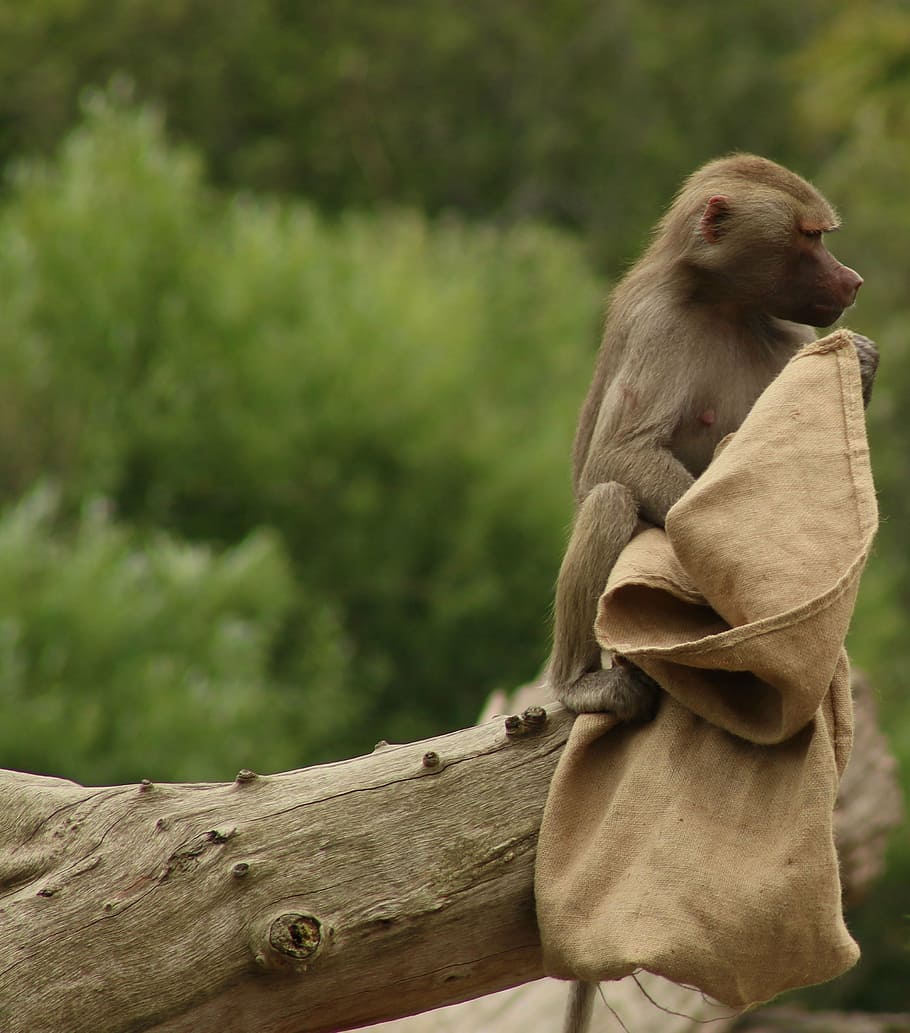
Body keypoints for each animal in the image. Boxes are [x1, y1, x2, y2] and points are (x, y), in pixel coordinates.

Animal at [551, 155, 878, 1033]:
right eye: (810, 237)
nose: (853, 279)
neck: (722, 305)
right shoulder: (658, 326)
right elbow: (614, 459)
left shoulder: (788, 342)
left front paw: (865, 366)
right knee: (610, 502)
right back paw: (582, 683)